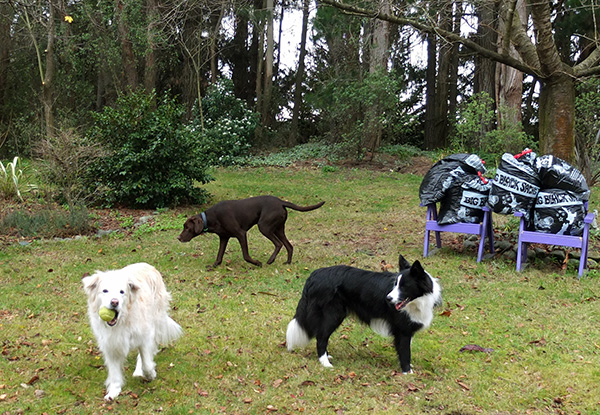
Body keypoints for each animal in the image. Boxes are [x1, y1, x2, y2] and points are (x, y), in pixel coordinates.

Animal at [81, 264, 183, 404]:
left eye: (121, 292)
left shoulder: (145, 336)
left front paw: (150, 374)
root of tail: (147, 264)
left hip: (156, 319)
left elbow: (146, 362)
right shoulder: (110, 345)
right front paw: (113, 391)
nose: (114, 302)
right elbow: (114, 372)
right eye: (105, 291)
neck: (122, 321)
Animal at [178, 197, 326, 268]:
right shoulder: (224, 238)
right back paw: (288, 262)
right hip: (278, 228)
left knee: (279, 244)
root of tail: (280, 201)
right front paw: (213, 266)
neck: (210, 217)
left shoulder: (241, 234)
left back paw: (270, 260)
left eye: (187, 228)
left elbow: (246, 255)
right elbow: (219, 256)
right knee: (289, 245)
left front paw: (257, 263)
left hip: (264, 227)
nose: (178, 238)